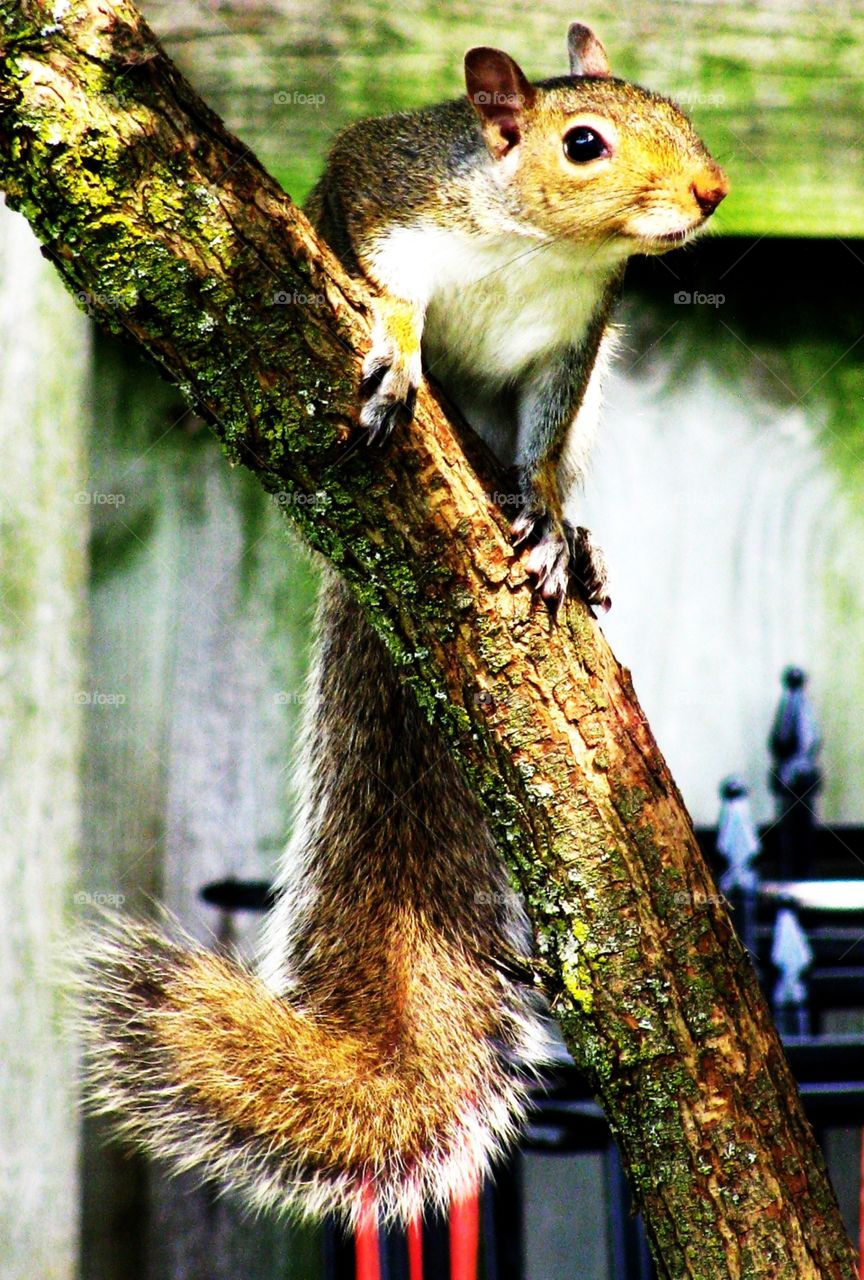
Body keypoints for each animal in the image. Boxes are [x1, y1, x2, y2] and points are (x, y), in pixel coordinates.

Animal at [79, 24, 727, 1230]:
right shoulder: (390, 192)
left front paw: (547, 517)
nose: (712, 192)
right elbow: (385, 282)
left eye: (677, 108)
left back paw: (579, 541)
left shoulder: (576, 341)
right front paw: (394, 345)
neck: (539, 247)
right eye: (584, 143)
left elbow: (542, 443)